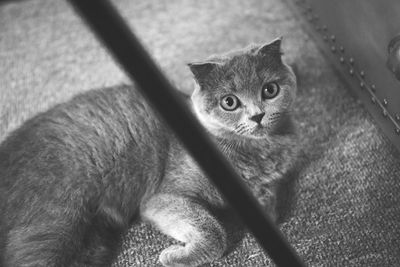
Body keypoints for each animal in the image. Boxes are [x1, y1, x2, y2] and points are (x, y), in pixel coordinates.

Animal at [0, 38, 296, 267]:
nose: (257, 116)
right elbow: (212, 230)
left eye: (270, 90)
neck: (255, 153)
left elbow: (272, 205)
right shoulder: (163, 196)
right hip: (54, 216)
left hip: (92, 236)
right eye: (229, 103)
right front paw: (174, 256)